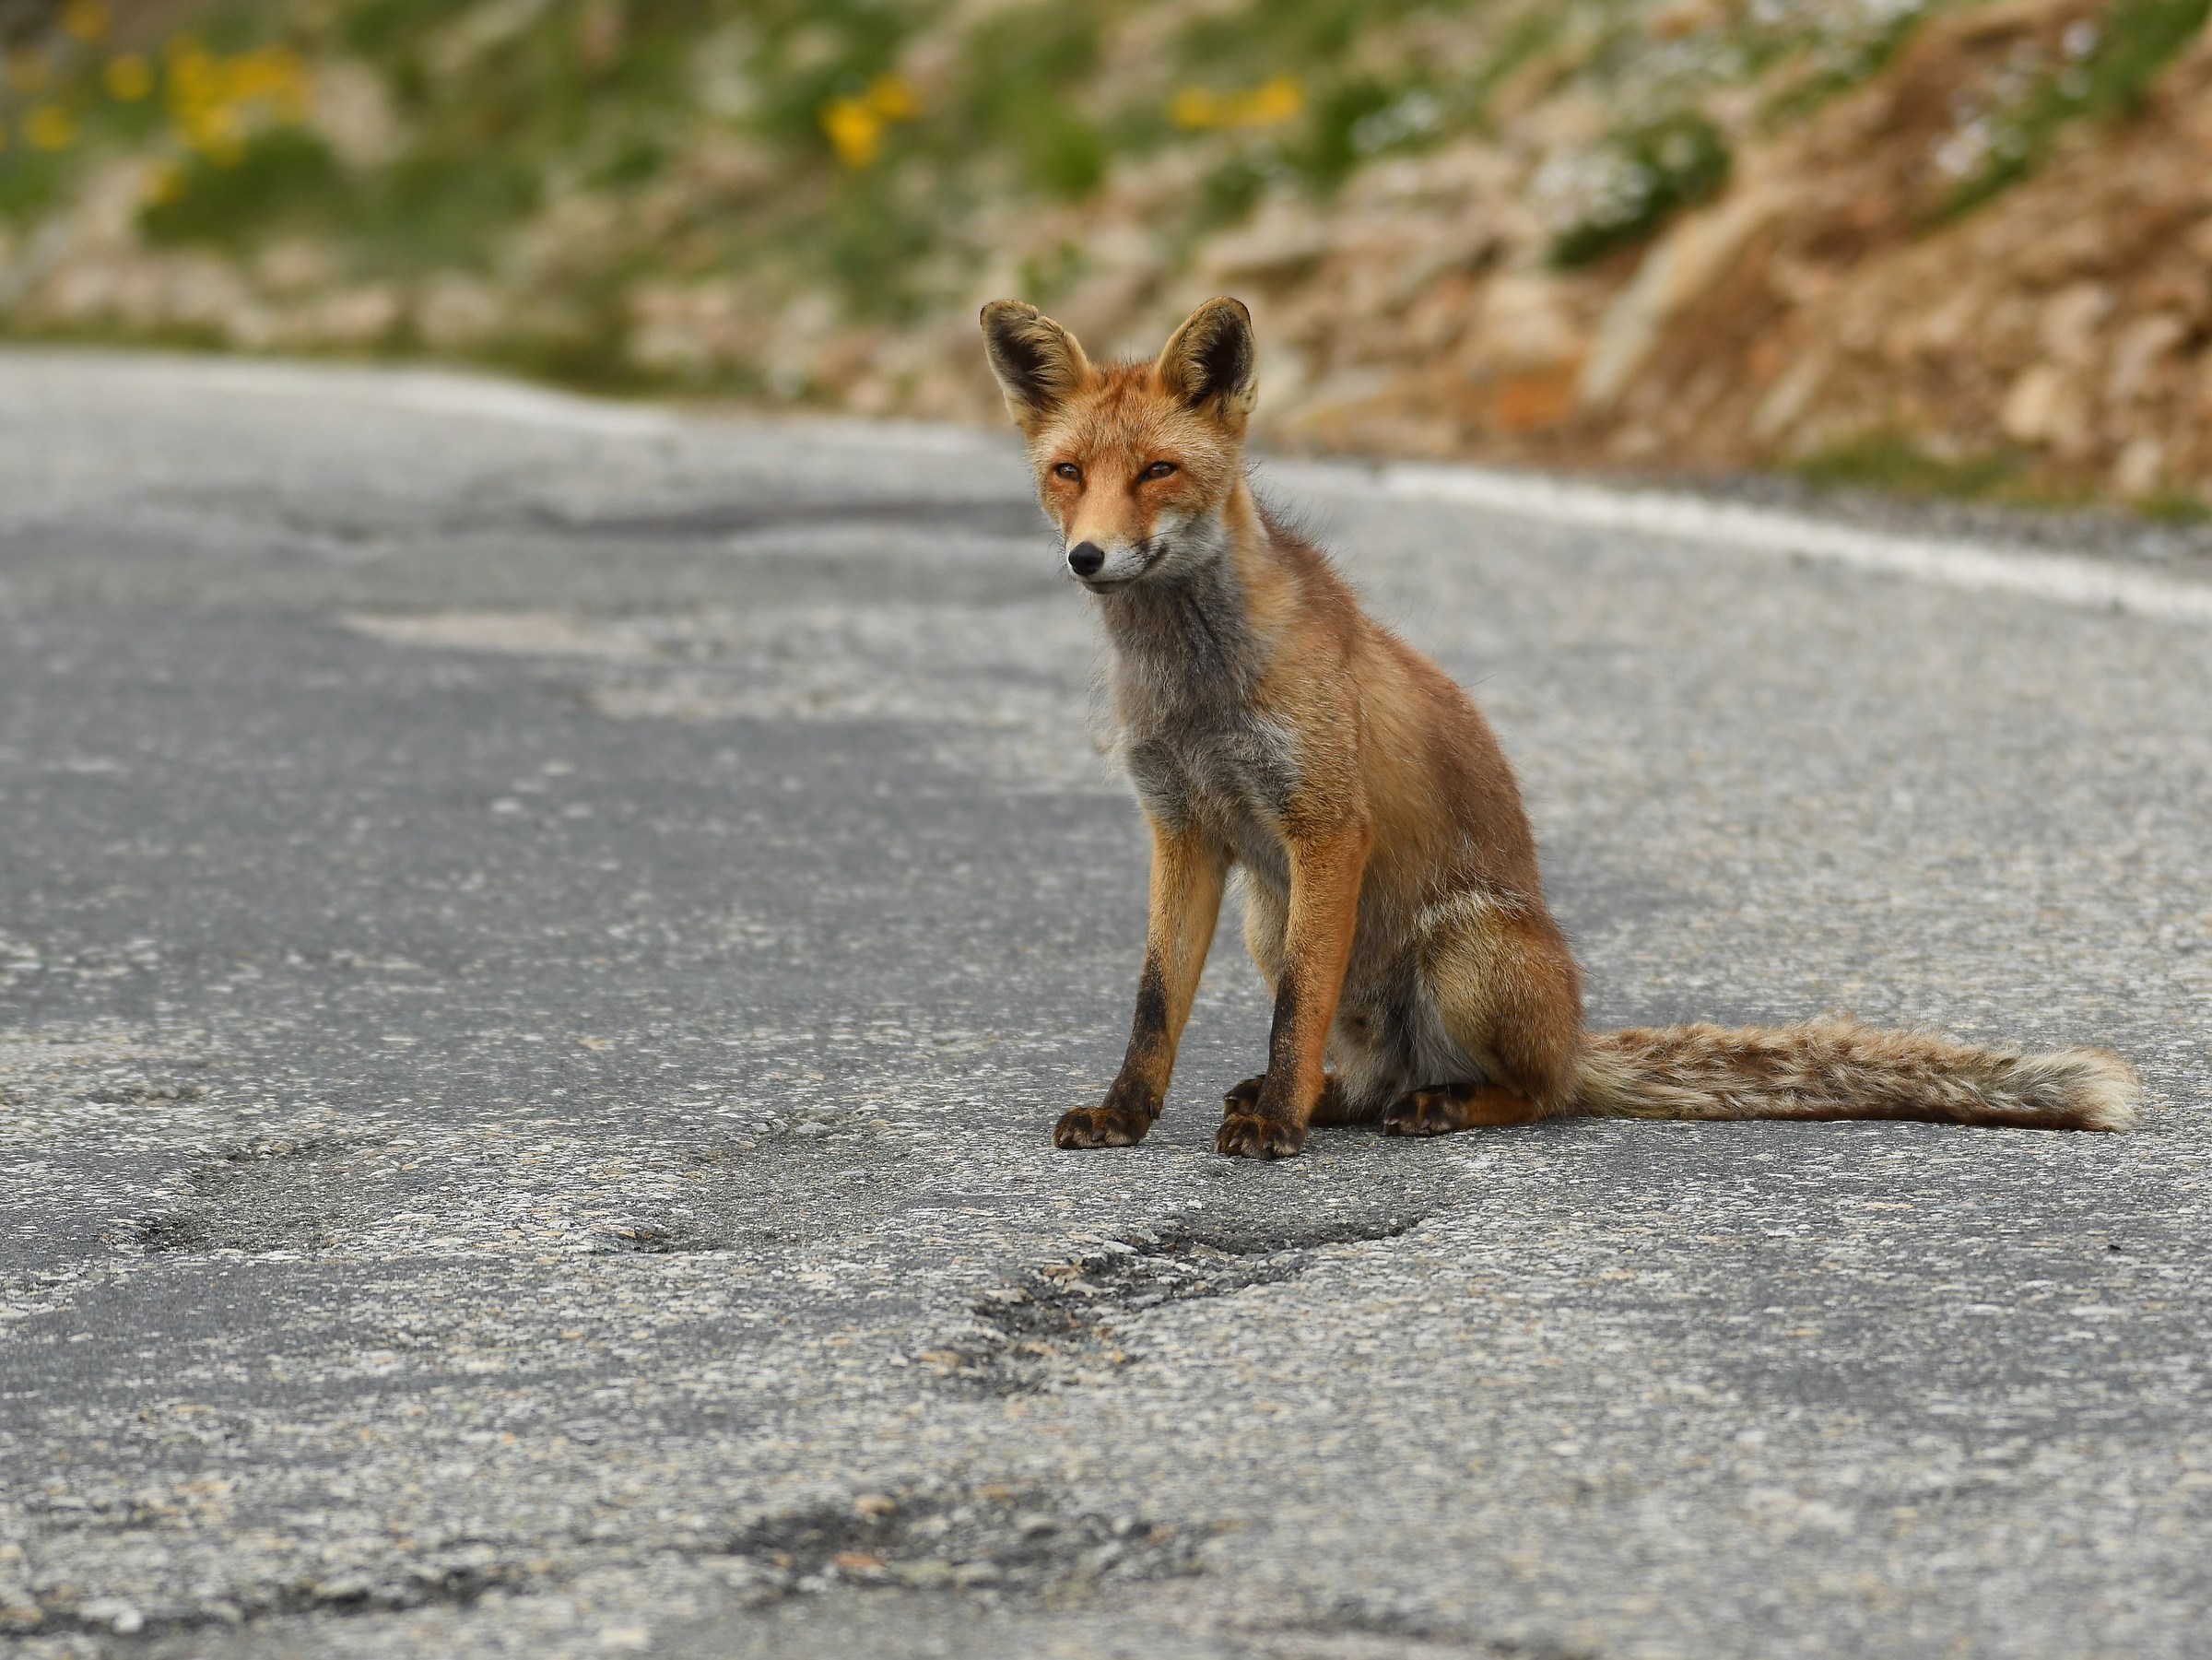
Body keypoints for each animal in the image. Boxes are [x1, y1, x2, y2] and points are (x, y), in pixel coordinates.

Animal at [979, 294, 2144, 1159]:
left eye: (1159, 470)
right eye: (1068, 472)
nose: (1088, 557)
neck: (1196, 688)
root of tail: (1577, 1033)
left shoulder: (1325, 825)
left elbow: (1297, 1005)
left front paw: (1275, 1128)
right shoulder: (1182, 826)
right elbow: (1154, 1001)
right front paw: (1127, 1114)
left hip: (1457, 951)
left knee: (1530, 1093)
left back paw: (1422, 1105)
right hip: (1276, 918)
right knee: (1363, 1074)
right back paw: (1333, 1097)